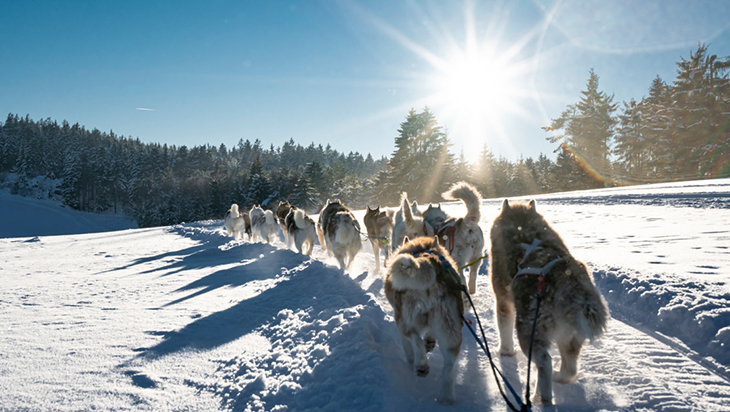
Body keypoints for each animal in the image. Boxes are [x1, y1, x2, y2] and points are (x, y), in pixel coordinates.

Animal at [384, 237, 464, 404]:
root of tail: (430, 264)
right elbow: (430, 335)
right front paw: (430, 342)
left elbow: (409, 348)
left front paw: (411, 362)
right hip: (451, 331)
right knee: (449, 365)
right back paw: (446, 397)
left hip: (405, 321)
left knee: (416, 341)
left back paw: (421, 365)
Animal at [490, 200, 608, 406]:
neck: (522, 225)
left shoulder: (503, 300)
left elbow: (504, 330)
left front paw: (505, 352)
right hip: (569, 336)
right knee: (570, 369)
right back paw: (558, 378)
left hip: (530, 331)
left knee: (545, 361)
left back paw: (541, 397)